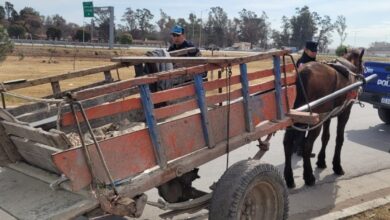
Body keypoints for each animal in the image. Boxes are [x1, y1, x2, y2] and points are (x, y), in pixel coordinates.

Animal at [284, 49, 366, 188]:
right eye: (362, 65)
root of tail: (304, 72)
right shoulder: (344, 113)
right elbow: (339, 138)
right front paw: (337, 166)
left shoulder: (328, 116)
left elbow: (326, 137)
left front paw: (321, 161)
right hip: (315, 120)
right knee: (307, 145)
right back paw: (309, 176)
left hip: (296, 117)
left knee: (288, 142)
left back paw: (289, 178)